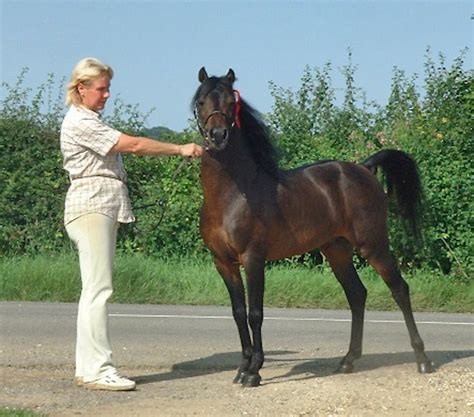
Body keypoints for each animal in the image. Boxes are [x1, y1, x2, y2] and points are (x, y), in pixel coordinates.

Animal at [192, 66, 434, 386]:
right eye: (201, 101)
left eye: (232, 104)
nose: (217, 136)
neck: (232, 195)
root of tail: (363, 168)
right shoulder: (223, 263)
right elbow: (238, 312)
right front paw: (242, 368)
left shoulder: (253, 259)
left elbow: (255, 313)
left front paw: (254, 371)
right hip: (337, 250)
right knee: (357, 295)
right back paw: (347, 361)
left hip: (374, 246)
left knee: (399, 290)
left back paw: (423, 359)